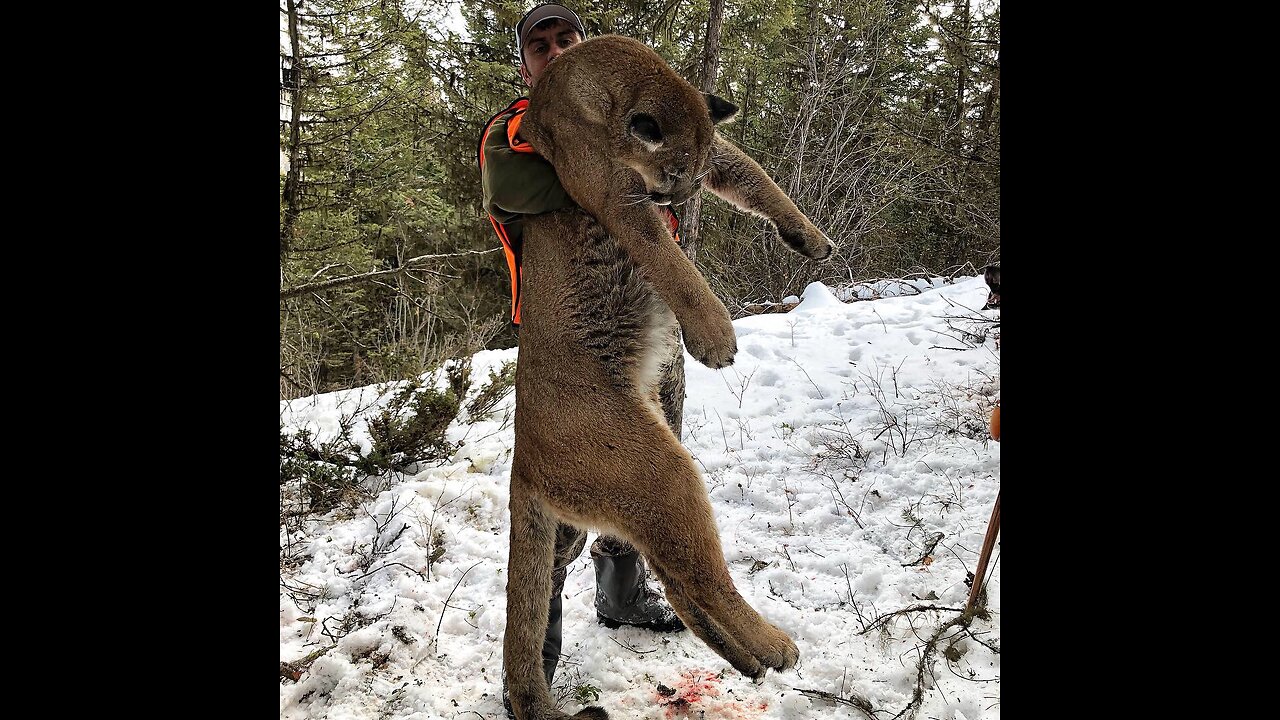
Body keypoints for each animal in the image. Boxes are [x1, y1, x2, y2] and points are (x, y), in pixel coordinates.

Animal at [499, 35, 839, 717]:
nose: (672, 198)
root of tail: (523, 459)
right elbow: (668, 257)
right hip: (657, 473)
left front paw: (809, 237)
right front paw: (714, 335)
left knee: (679, 579)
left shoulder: (709, 153)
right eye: (671, 177)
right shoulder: (608, 190)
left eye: (690, 176)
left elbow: (755, 175)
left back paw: (752, 660)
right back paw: (774, 646)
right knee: (702, 574)